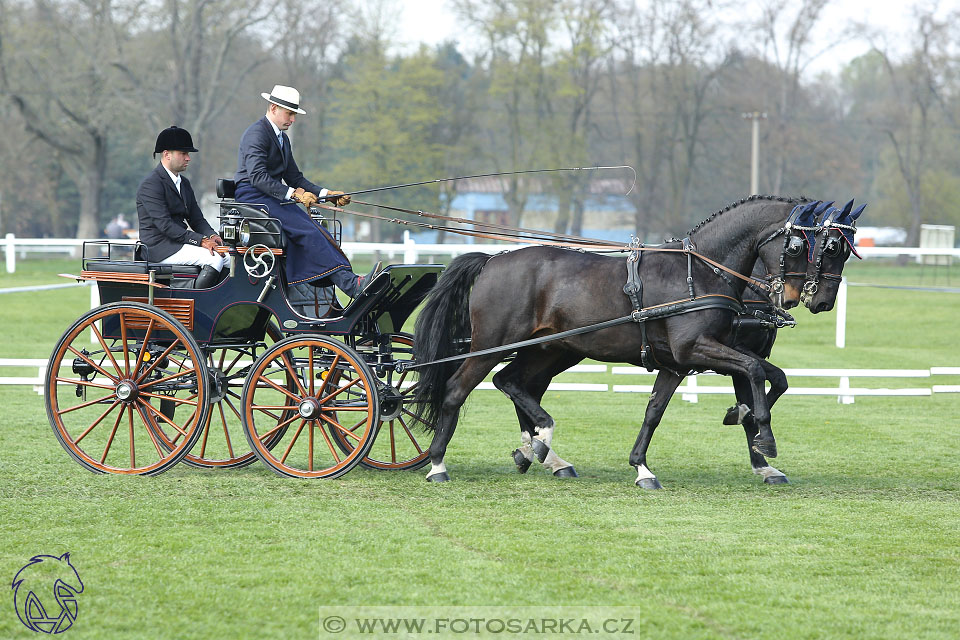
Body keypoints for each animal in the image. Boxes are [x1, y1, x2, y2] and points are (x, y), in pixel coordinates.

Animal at [416, 195, 836, 484]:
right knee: (458, 390)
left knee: (512, 382)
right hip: (491, 346)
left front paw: (643, 468)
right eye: (801, 246)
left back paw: (541, 449)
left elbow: (658, 410)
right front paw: (762, 436)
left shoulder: (679, 363)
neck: (701, 270)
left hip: (550, 349)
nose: (813, 299)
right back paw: (439, 463)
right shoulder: (697, 349)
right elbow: (755, 372)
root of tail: (493, 259)